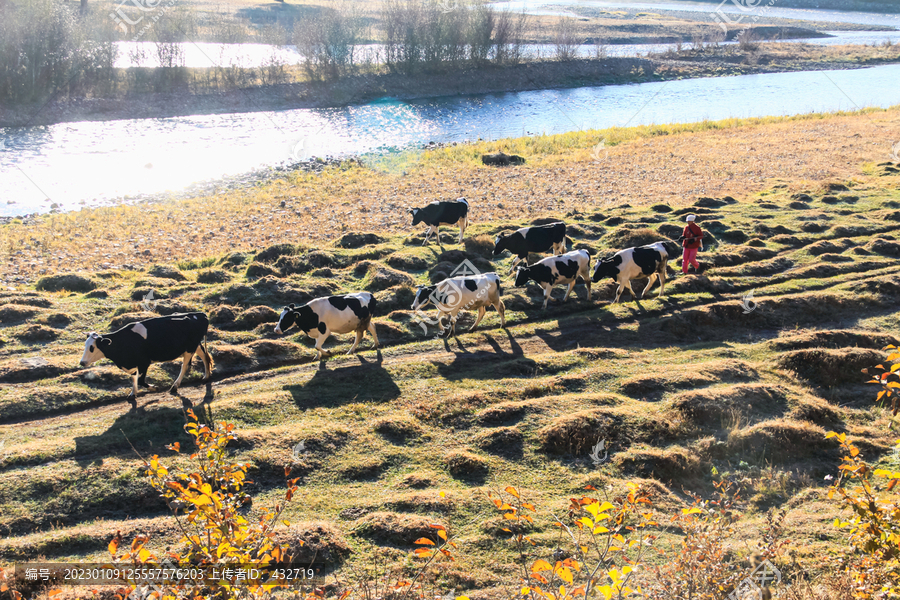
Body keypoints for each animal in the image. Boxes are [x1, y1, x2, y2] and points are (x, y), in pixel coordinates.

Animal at [79, 312, 213, 406]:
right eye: (85, 345)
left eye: (92, 347)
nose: (82, 362)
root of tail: (200, 314)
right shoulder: (132, 363)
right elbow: (134, 378)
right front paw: (133, 394)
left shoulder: (144, 362)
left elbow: (140, 380)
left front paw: (154, 388)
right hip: (194, 346)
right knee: (205, 355)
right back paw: (206, 377)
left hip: (189, 348)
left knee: (185, 365)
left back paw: (175, 386)